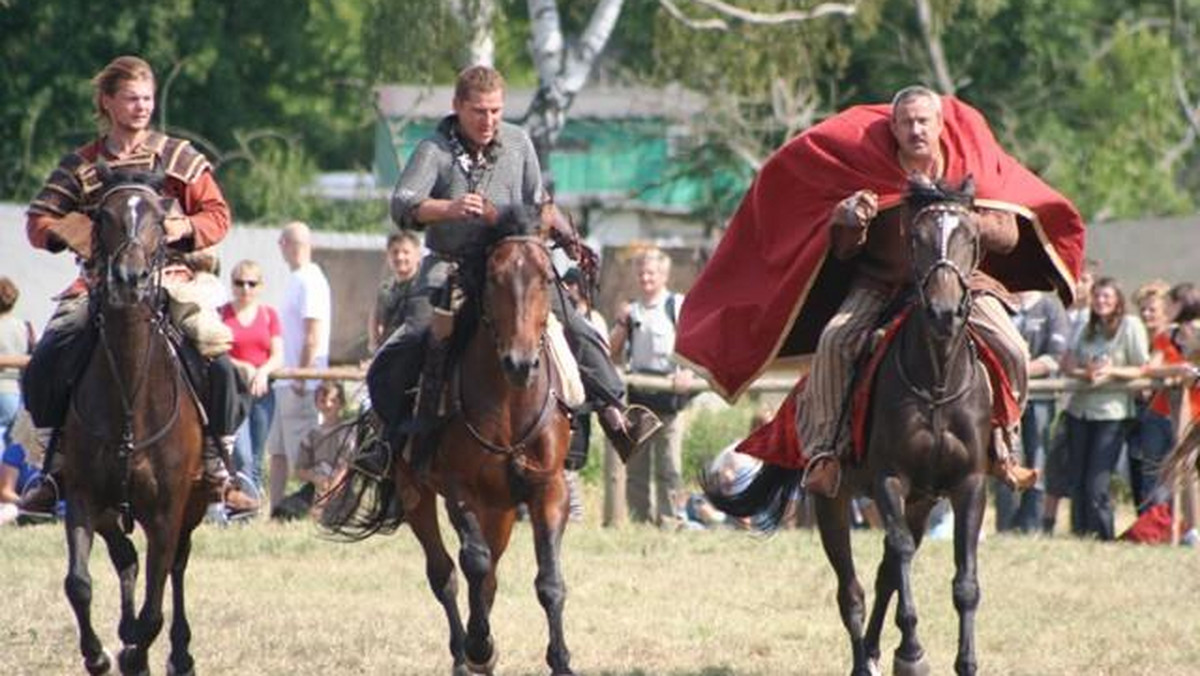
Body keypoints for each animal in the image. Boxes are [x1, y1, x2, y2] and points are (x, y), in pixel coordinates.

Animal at [57, 168, 208, 676]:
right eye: (104, 215)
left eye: (161, 220)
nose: (129, 278)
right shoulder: (83, 497)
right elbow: (79, 583)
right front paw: (100, 654)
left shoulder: (167, 513)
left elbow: (153, 610)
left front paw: (136, 654)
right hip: (110, 510)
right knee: (125, 559)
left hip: (193, 506)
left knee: (176, 568)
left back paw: (180, 654)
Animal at [324, 205, 576, 676]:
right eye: (493, 278)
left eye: (544, 278)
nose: (520, 363)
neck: (509, 402)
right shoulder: (460, 489)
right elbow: (472, 563)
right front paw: (479, 645)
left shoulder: (547, 488)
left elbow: (549, 580)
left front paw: (561, 660)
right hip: (416, 494)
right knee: (445, 574)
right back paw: (466, 654)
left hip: (500, 509)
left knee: (488, 577)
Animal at [710, 178, 993, 676]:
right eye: (916, 239)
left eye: (971, 237)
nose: (943, 312)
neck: (936, 382)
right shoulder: (890, 480)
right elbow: (899, 552)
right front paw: (914, 652)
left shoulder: (968, 485)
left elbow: (964, 579)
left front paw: (963, 662)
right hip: (832, 501)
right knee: (853, 590)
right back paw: (868, 660)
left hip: (921, 501)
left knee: (884, 576)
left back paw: (882, 652)